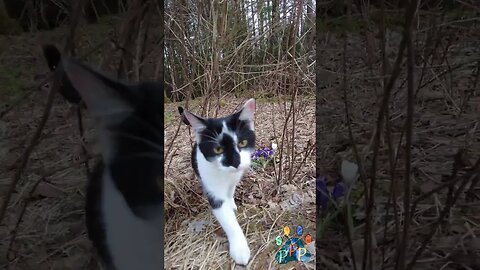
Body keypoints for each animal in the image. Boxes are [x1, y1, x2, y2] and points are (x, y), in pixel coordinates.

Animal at [179, 99, 255, 266]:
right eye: (218, 149)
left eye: (243, 143)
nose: (235, 162)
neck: (225, 174)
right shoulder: (212, 187)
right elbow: (227, 218)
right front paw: (240, 250)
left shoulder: (235, 177)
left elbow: (231, 190)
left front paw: (232, 204)